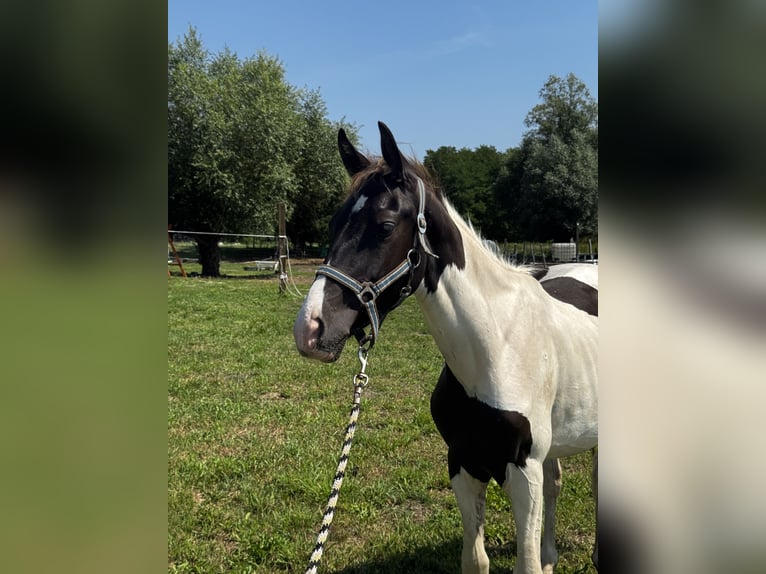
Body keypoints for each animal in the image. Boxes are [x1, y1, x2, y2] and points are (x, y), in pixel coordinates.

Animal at [293, 122, 598, 574]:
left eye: (385, 226)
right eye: (333, 225)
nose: (311, 329)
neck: (498, 345)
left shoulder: (522, 472)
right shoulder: (463, 462)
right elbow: (476, 559)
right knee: (557, 482)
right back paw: (550, 557)